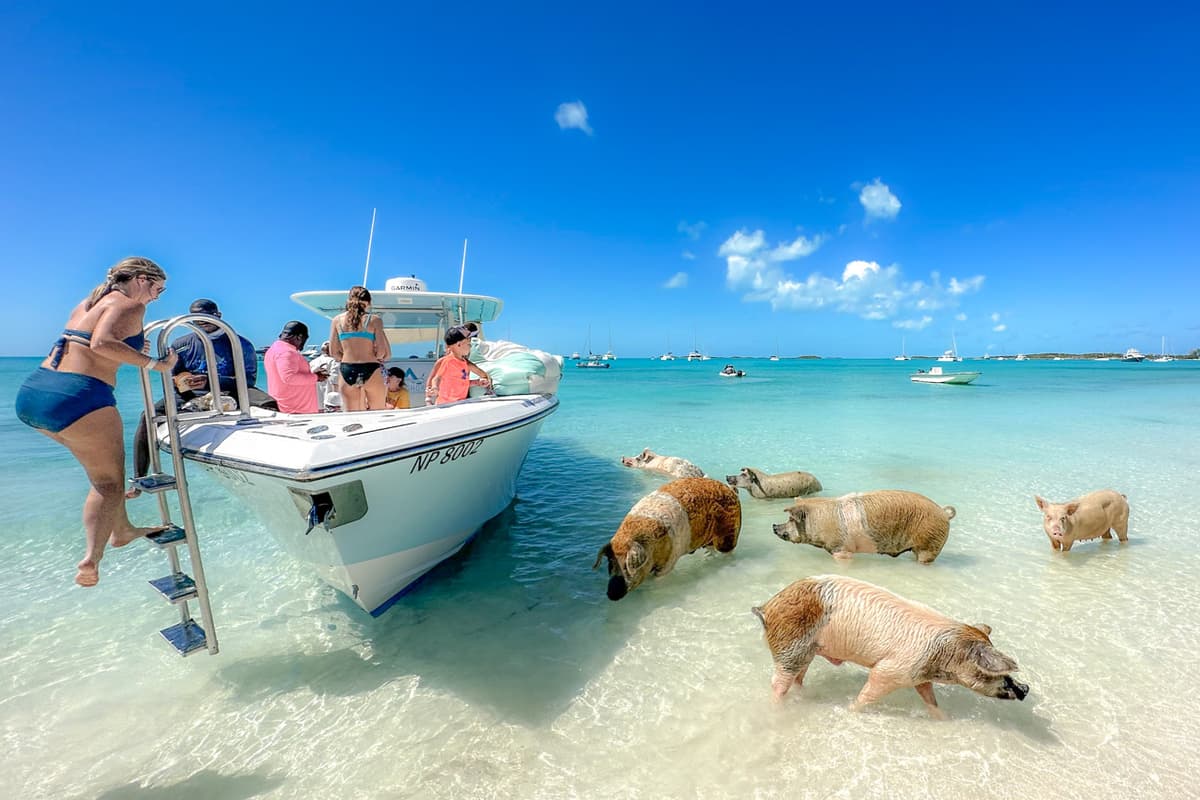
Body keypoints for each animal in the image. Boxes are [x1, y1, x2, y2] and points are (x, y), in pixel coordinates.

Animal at [593, 477, 741, 601]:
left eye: (628, 565)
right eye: (610, 563)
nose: (611, 594)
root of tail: (731, 490)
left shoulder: (668, 563)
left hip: (728, 536)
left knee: (728, 552)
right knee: (711, 551)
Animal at [753, 575, 1029, 719]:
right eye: (1002, 673)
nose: (1025, 688)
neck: (944, 658)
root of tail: (766, 607)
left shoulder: (918, 676)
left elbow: (930, 699)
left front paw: (943, 720)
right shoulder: (890, 671)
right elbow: (868, 693)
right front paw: (850, 711)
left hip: (806, 651)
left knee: (798, 678)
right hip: (789, 647)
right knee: (777, 684)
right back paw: (777, 710)